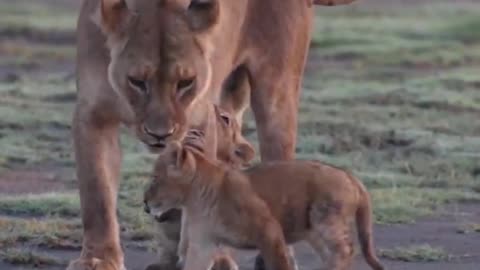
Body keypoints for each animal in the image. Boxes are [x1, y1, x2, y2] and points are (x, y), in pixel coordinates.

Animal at [71, 0, 356, 270]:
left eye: (186, 82)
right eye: (137, 81)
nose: (160, 135)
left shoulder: (201, 122)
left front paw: (210, 256)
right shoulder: (92, 116)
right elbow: (97, 194)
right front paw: (98, 259)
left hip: (277, 92)